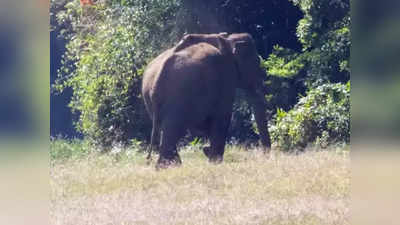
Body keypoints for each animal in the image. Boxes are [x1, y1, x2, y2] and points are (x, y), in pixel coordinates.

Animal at [142, 32, 270, 168]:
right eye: (256, 62)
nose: (265, 156)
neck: (228, 39)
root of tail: (157, 79)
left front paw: (208, 152)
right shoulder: (226, 75)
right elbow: (223, 116)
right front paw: (214, 161)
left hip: (152, 98)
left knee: (165, 128)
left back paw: (170, 165)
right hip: (178, 95)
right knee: (172, 128)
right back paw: (168, 166)